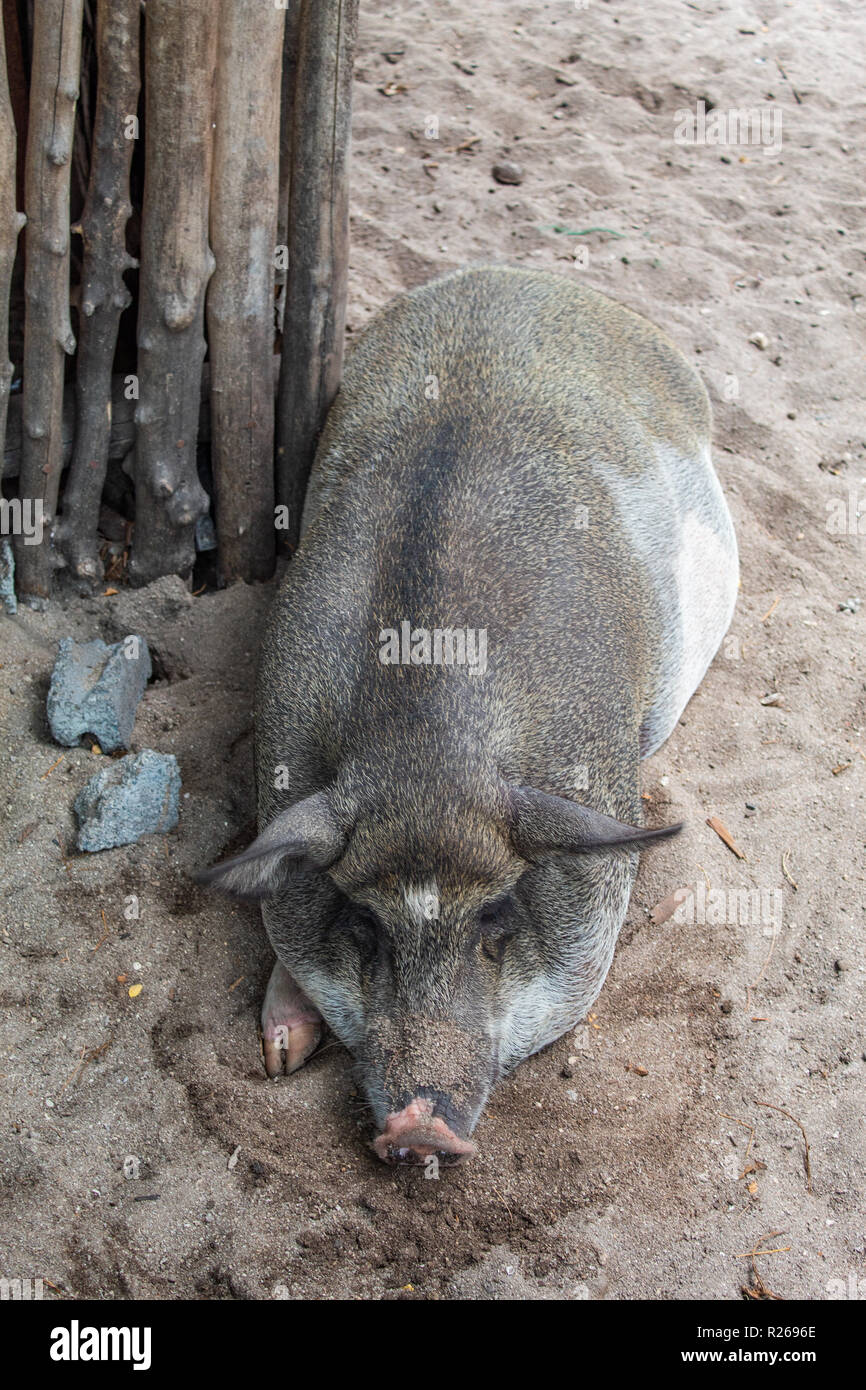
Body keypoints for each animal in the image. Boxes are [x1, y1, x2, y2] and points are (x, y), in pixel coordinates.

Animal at [202, 265, 739, 1167]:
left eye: (496, 916)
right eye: (363, 923)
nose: (420, 1125)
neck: (426, 756)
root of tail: (531, 274)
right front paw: (280, 1056)